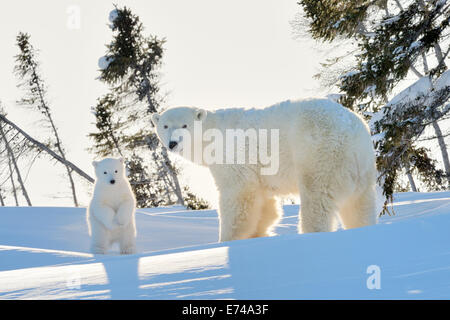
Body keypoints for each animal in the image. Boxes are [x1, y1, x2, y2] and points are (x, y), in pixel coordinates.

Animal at [151, 99, 376, 241]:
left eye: (185, 125)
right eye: (165, 126)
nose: (172, 143)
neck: (213, 134)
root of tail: (353, 134)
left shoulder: (234, 158)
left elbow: (238, 195)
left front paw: (226, 239)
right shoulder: (260, 173)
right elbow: (264, 203)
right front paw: (259, 234)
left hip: (319, 154)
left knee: (316, 198)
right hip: (361, 168)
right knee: (359, 205)